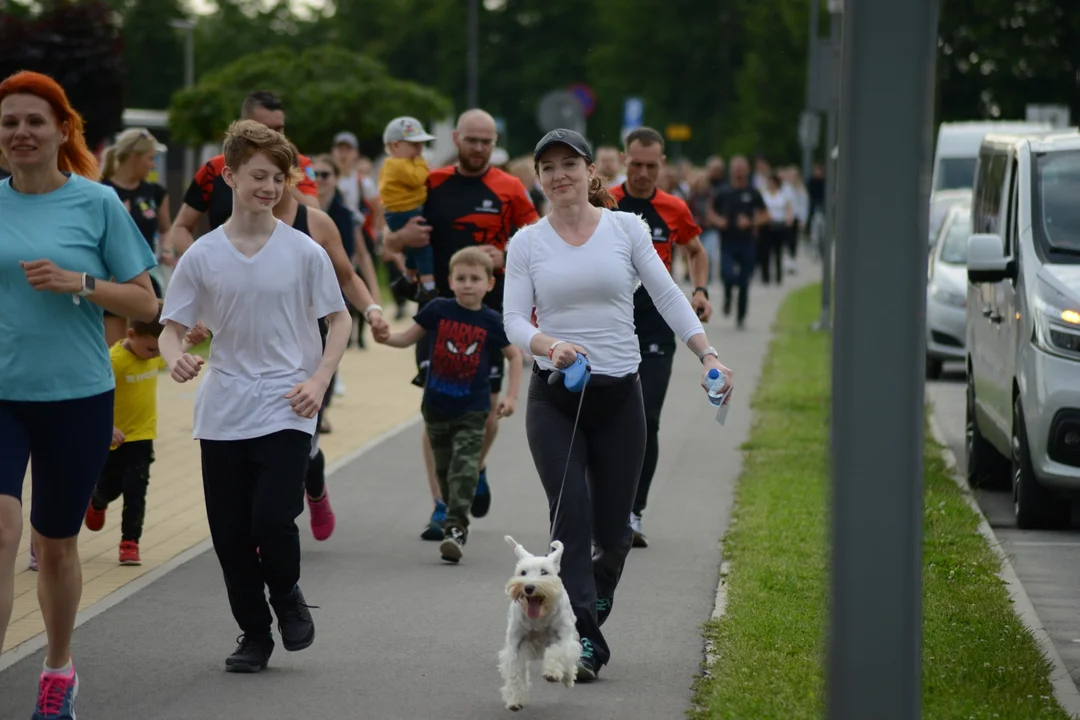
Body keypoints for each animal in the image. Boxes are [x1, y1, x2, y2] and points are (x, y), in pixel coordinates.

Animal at [498, 535, 583, 708]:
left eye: (544, 572)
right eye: (522, 572)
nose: (529, 587)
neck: (539, 617)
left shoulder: (563, 636)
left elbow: (559, 651)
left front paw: (552, 673)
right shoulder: (516, 643)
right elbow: (515, 671)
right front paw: (515, 700)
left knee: (570, 657)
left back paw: (568, 677)